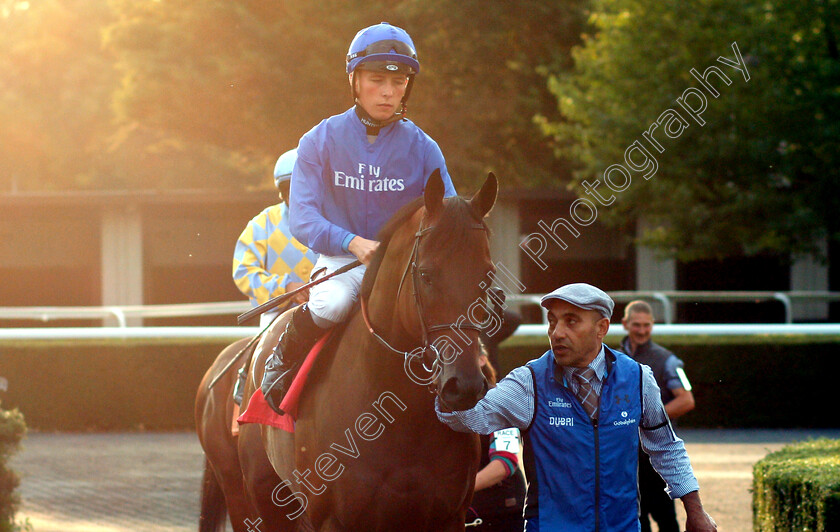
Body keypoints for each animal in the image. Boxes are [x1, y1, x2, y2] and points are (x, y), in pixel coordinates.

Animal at [197, 171, 498, 532]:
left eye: (488, 276)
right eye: (426, 274)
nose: (463, 386)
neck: (399, 417)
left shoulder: (447, 515)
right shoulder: (334, 519)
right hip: (252, 494)